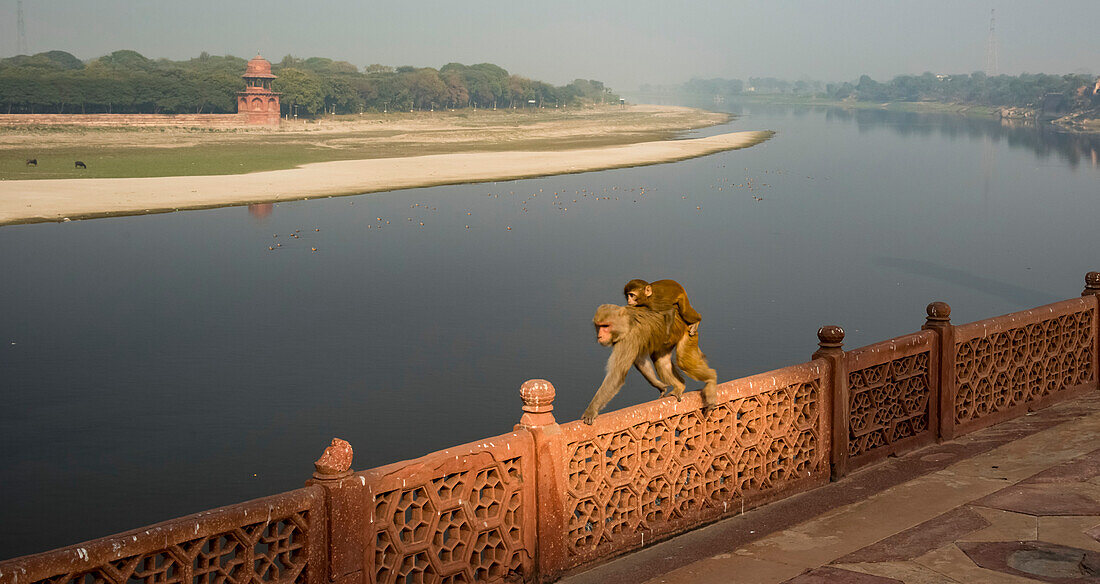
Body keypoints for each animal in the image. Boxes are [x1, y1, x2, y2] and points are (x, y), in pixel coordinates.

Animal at [624, 281, 717, 409]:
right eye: (627, 295)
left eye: (632, 295)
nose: (629, 300)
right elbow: (639, 359)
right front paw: (660, 387)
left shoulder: (654, 306)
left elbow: (669, 312)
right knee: (661, 361)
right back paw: (679, 387)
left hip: (685, 315)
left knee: (683, 361)